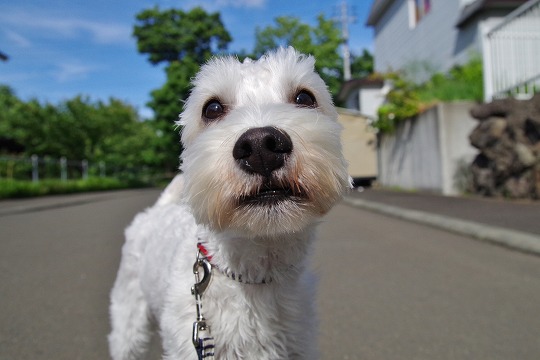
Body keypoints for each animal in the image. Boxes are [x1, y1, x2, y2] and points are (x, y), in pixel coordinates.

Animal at [108, 47, 350, 360]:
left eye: (305, 98)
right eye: (211, 108)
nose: (261, 146)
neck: (254, 278)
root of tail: (159, 209)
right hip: (129, 319)